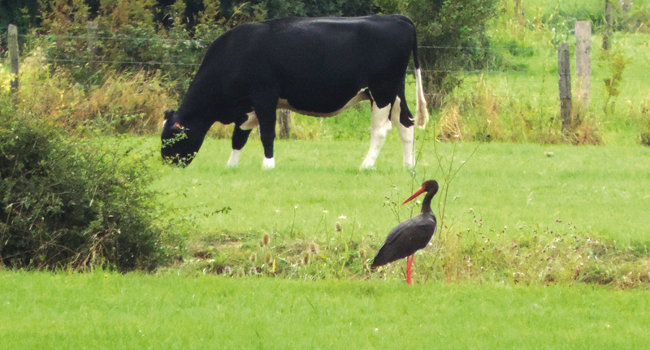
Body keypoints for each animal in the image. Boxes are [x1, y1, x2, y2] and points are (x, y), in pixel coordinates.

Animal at [160, 15, 428, 170]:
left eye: (170, 137)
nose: (165, 162)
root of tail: (397, 18)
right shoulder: (247, 106)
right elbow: (239, 136)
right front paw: (231, 166)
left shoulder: (265, 96)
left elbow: (267, 133)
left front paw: (268, 165)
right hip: (394, 90)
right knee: (406, 123)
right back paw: (409, 166)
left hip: (381, 90)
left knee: (381, 129)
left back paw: (366, 165)